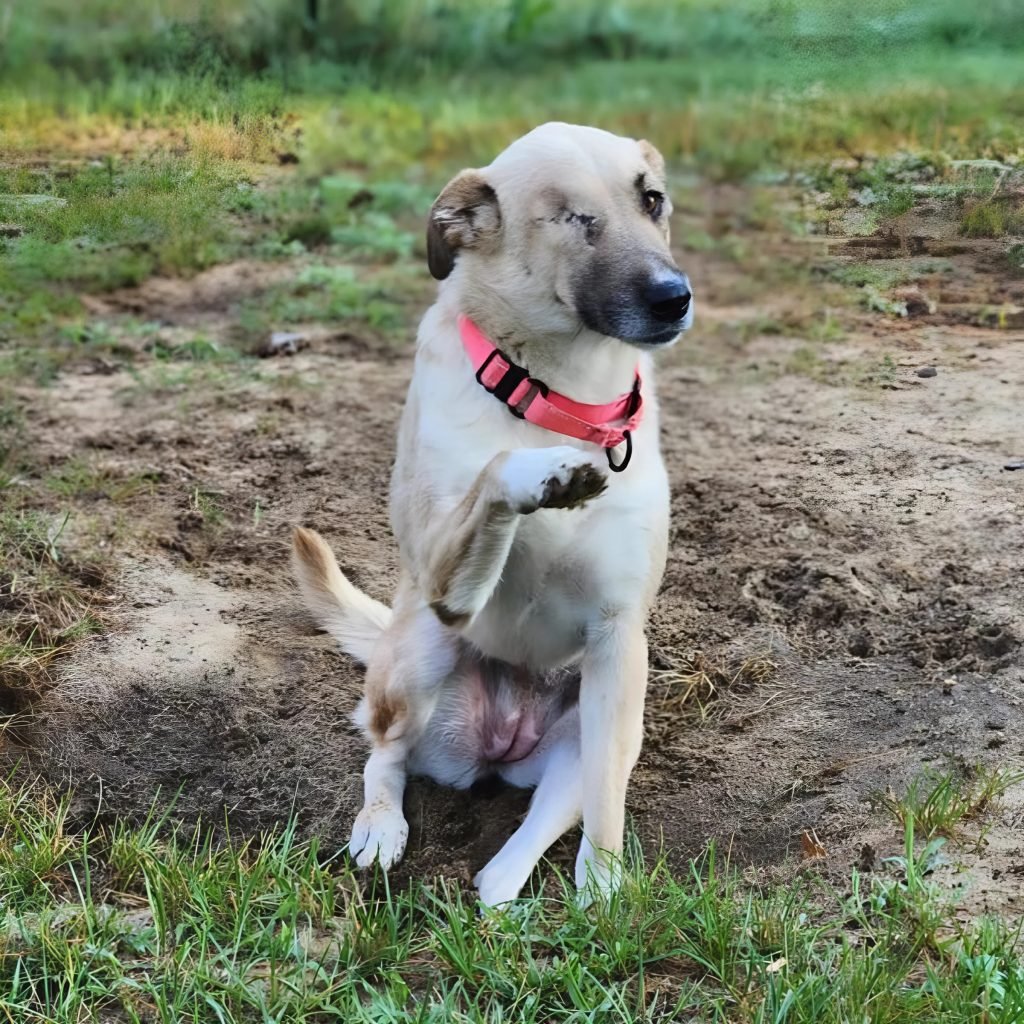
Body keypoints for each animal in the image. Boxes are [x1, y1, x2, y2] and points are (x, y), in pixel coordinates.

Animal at [296, 121, 696, 905]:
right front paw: (544, 473)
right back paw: (380, 829)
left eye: (653, 200)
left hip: (599, 718)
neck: (563, 399)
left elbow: (606, 803)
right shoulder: (446, 581)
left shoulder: (619, 640)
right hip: (419, 653)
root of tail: (497, 742)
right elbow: (495, 471)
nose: (675, 297)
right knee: (383, 754)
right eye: (573, 217)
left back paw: (499, 895)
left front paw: (604, 892)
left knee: (523, 841)